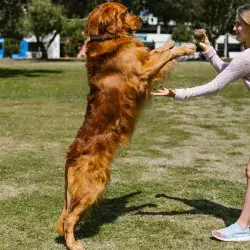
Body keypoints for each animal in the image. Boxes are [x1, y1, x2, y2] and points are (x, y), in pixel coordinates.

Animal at [55, 2, 196, 250]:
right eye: (126, 12)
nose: (143, 20)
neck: (107, 36)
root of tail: (70, 155)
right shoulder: (143, 71)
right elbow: (166, 55)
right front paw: (185, 47)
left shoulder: (145, 64)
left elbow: (157, 52)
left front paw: (169, 42)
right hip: (93, 186)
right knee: (69, 218)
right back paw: (73, 244)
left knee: (70, 216)